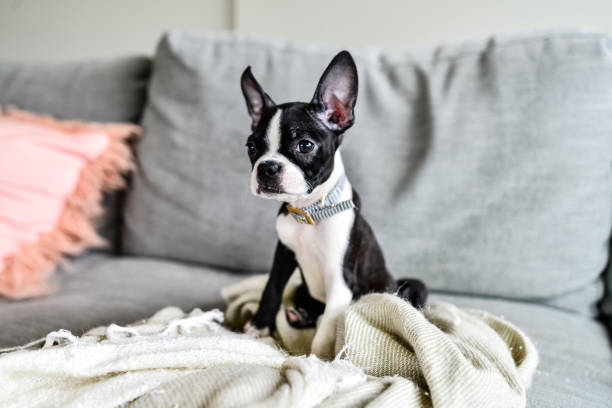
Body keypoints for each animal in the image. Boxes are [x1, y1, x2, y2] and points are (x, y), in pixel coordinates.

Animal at [239, 50, 426, 356]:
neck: (309, 210)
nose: (267, 167)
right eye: (252, 147)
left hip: (409, 288)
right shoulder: (284, 254)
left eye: (305, 145)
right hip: (302, 288)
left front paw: (317, 359)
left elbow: (326, 328)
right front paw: (259, 326)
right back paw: (299, 315)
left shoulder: (340, 281)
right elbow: (272, 289)